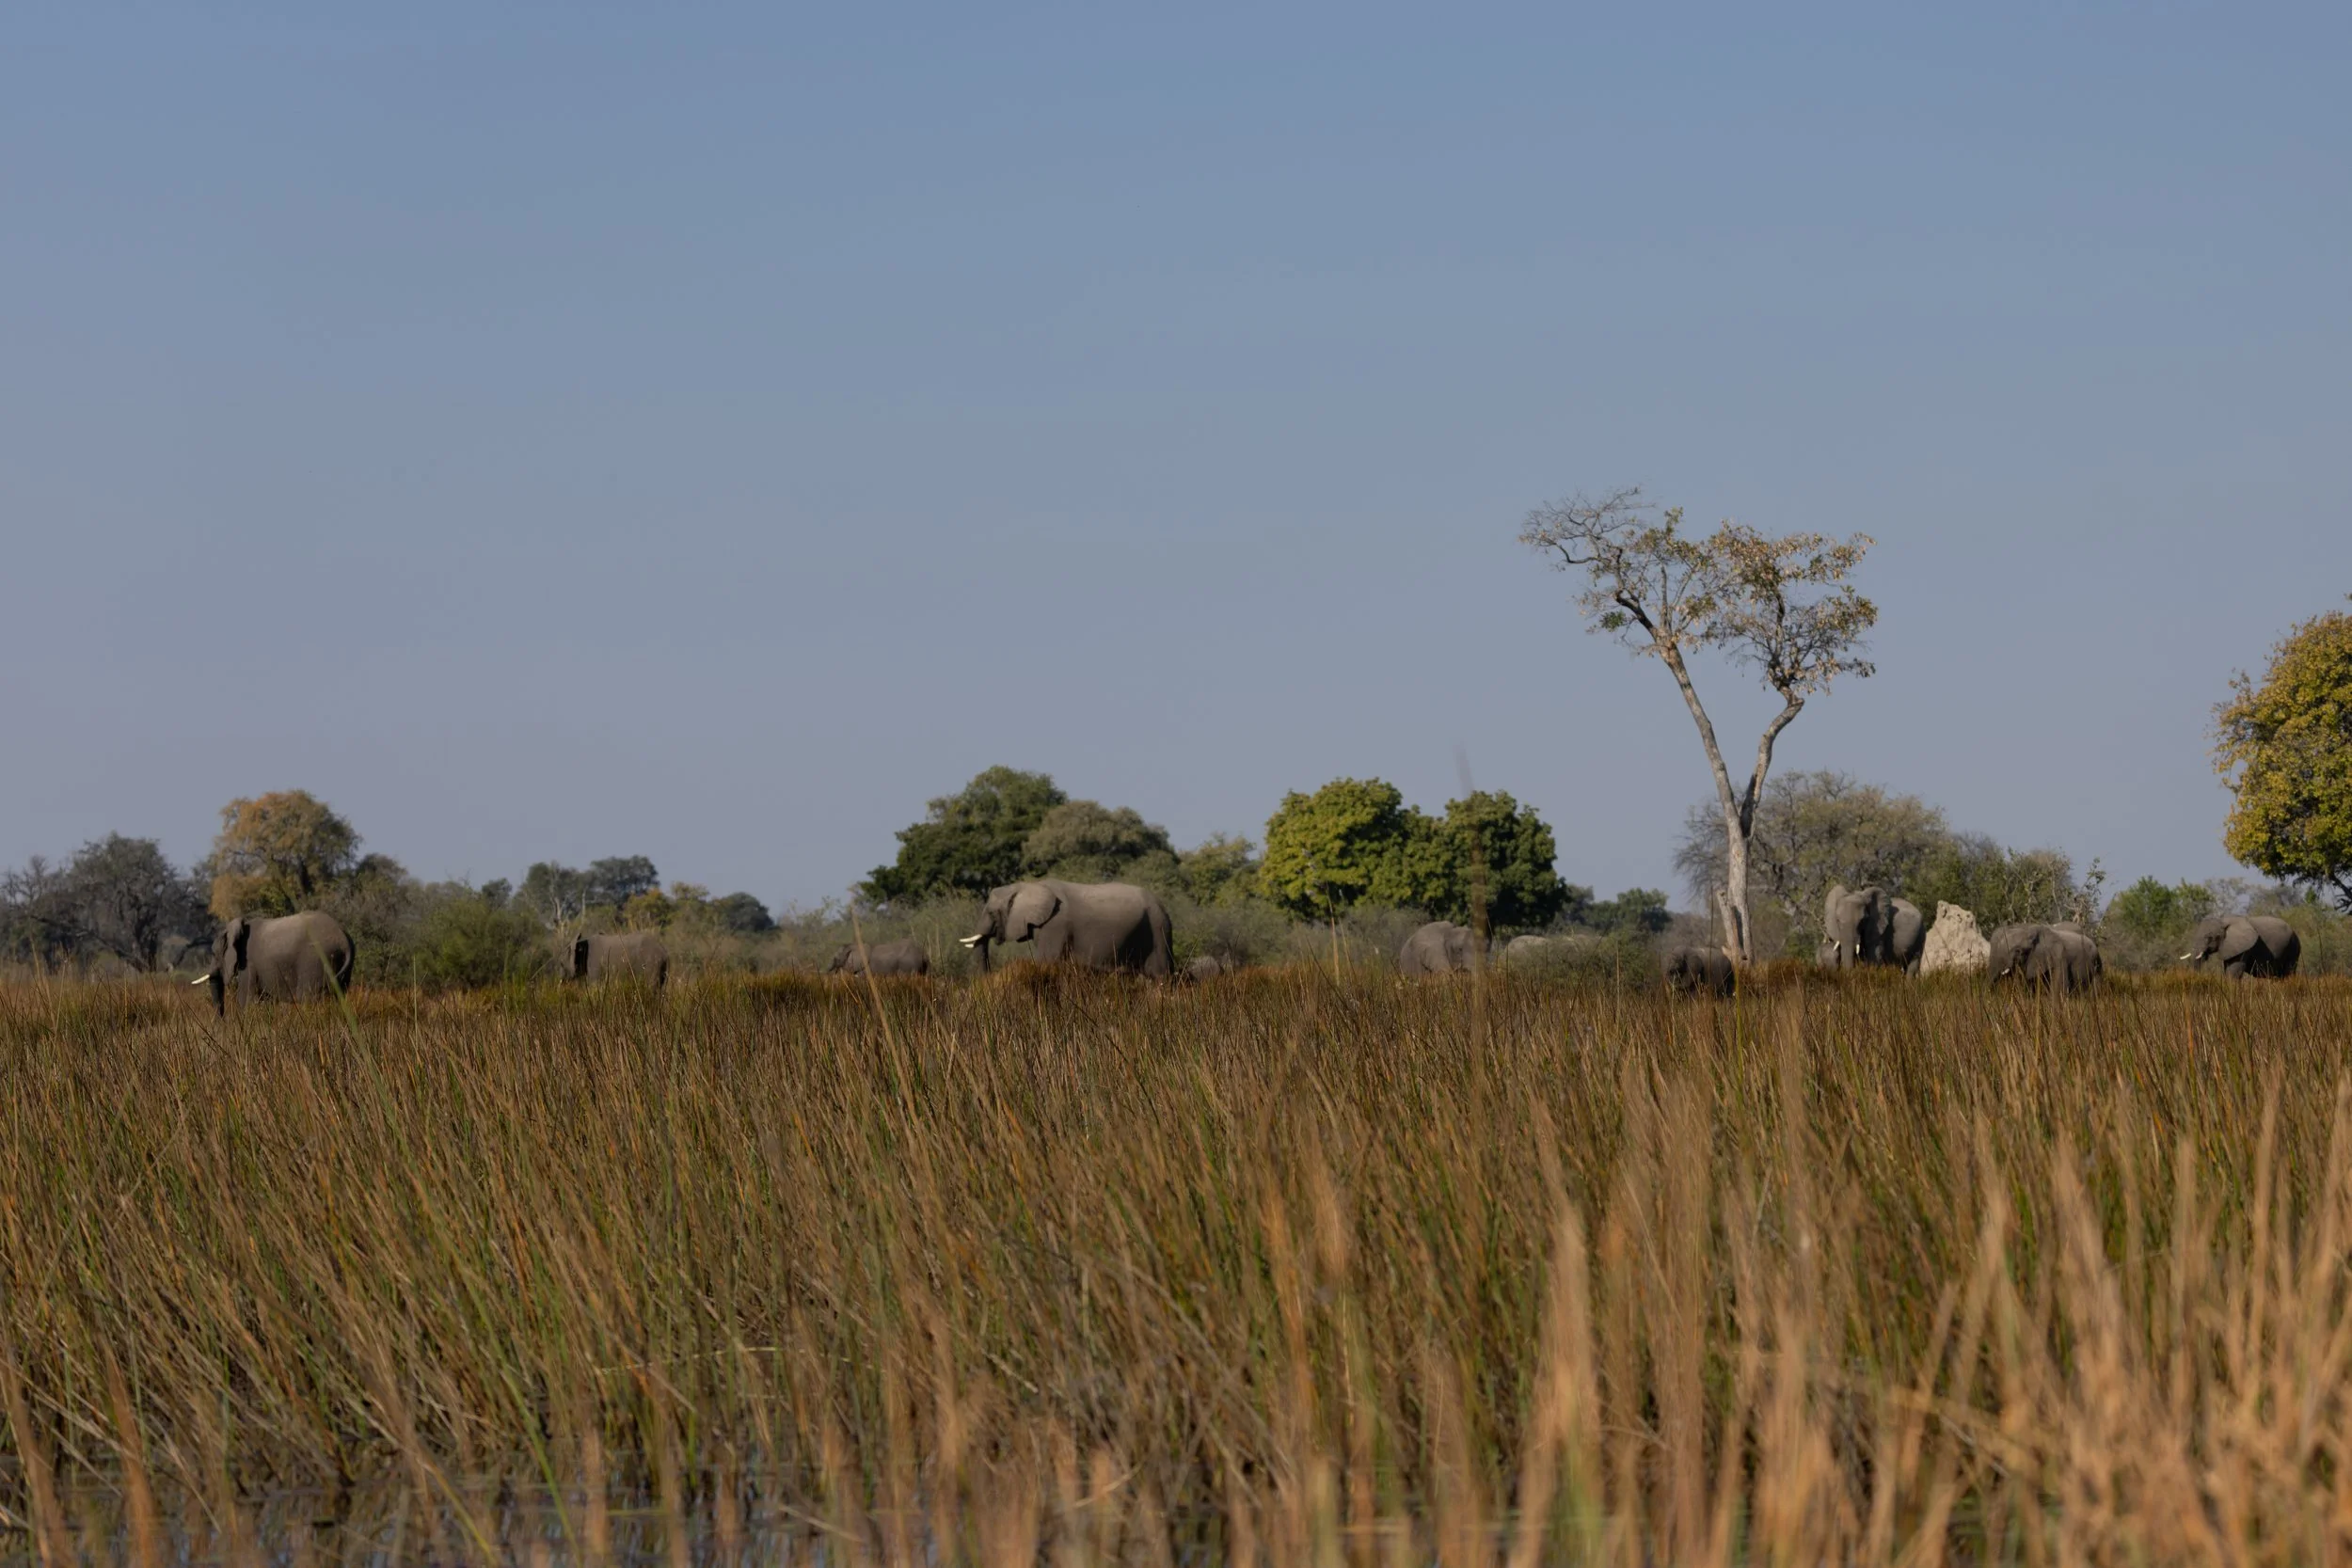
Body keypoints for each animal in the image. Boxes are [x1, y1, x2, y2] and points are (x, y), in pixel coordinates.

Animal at [193, 911, 355, 1016]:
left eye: (214, 954)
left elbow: (245, 999)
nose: (222, 1022)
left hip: (316, 959)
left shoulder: (248, 963)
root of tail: (344, 939)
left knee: (307, 998)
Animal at [961, 880, 1175, 979]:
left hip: (1157, 928)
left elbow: (1045, 961)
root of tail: (1163, 906)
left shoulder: (1054, 926)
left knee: (1160, 976)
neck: (1026, 886)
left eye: (990, 913)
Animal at [2180, 915, 2301, 979]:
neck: (2222, 921)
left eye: (2210, 938)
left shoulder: (2243, 948)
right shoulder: (2230, 947)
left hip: (2293, 947)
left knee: (2288, 973)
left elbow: (2233, 972)